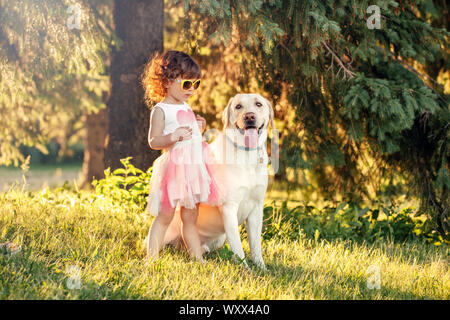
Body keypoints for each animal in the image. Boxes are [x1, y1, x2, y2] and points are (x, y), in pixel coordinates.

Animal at [162, 94, 274, 268]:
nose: (249, 116)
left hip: (219, 238)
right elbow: (238, 246)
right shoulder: (229, 208)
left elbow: (256, 246)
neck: (246, 155)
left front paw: (261, 268)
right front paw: (245, 269)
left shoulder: (256, 207)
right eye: (238, 106)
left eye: (258, 104)